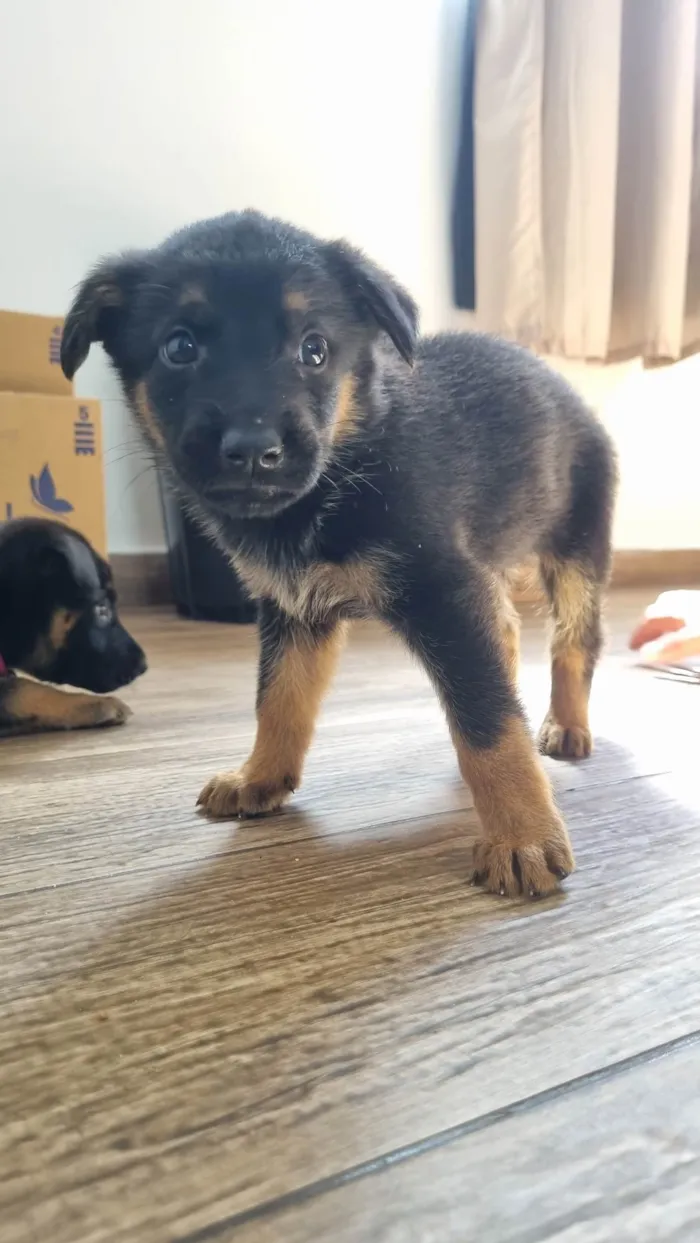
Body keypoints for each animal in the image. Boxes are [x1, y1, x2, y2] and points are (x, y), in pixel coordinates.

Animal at [63, 208, 616, 899]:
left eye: (314, 350)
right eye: (179, 347)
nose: (254, 450)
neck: (345, 465)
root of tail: (566, 389)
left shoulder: (439, 588)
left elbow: (488, 720)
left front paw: (522, 836)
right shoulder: (295, 608)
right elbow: (278, 699)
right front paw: (260, 777)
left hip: (576, 551)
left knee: (574, 642)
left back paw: (567, 725)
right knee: (508, 629)